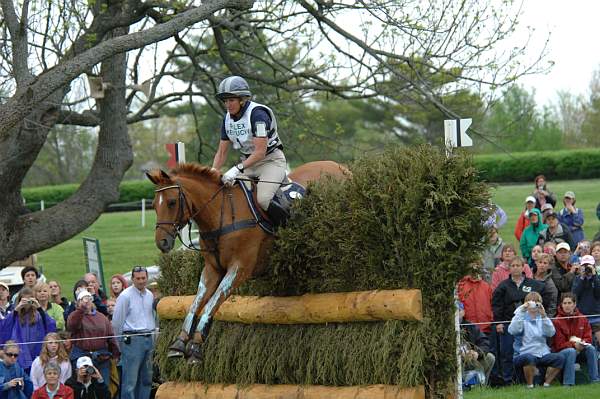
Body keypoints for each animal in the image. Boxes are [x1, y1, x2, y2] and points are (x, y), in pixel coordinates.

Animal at [145, 161, 350, 364]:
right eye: (154, 205)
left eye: (171, 202)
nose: (162, 243)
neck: (221, 214)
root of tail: (341, 167)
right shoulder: (212, 270)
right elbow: (196, 303)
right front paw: (179, 344)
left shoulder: (239, 268)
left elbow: (212, 303)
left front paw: (195, 347)